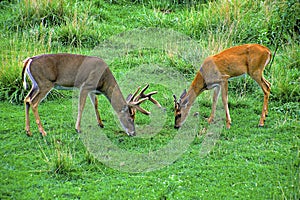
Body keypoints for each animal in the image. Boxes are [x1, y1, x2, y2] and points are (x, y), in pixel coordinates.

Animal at [21, 54, 162, 137]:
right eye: (130, 118)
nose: (133, 133)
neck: (103, 82)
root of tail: (29, 60)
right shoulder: (85, 85)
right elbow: (81, 106)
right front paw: (78, 128)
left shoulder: (92, 90)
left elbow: (96, 104)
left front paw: (100, 123)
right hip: (45, 82)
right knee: (34, 102)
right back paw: (42, 131)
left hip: (35, 84)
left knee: (27, 99)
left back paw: (28, 131)